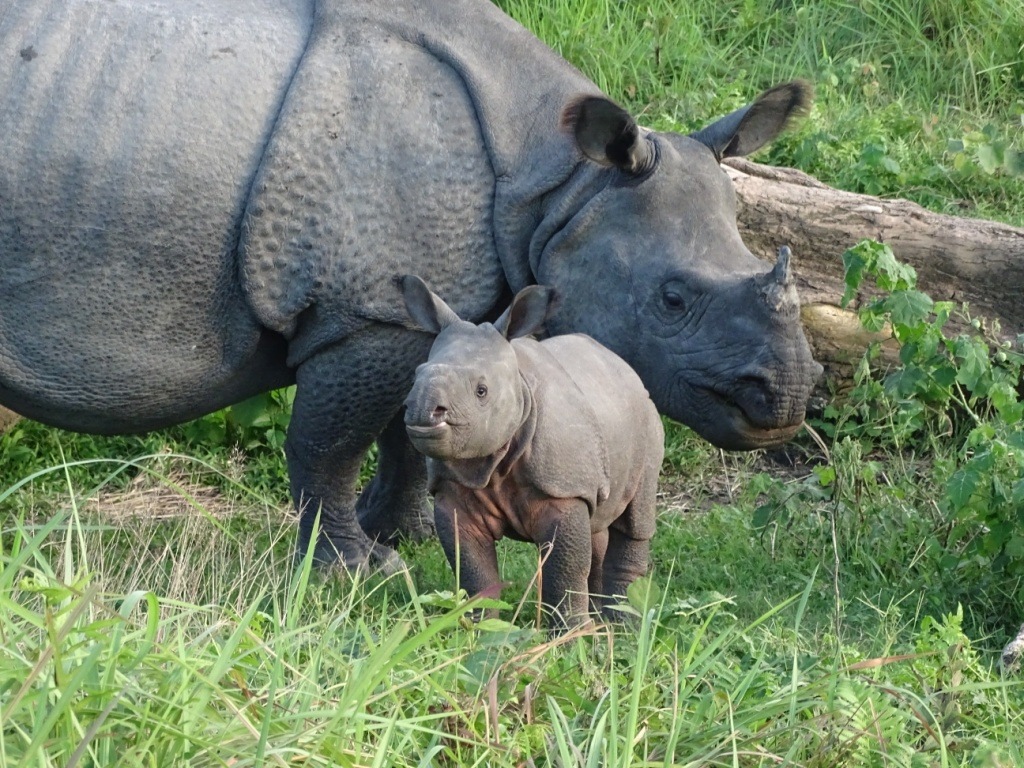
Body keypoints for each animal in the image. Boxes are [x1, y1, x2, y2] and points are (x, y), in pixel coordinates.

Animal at [399, 274, 663, 626]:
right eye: (416, 376)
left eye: (481, 391)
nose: (423, 411)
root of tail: (624, 366)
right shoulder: (453, 489)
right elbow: (473, 570)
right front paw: (482, 627)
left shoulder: (564, 488)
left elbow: (565, 570)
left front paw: (570, 634)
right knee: (597, 523)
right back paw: (604, 621)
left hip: (647, 419)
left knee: (634, 521)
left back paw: (624, 626)